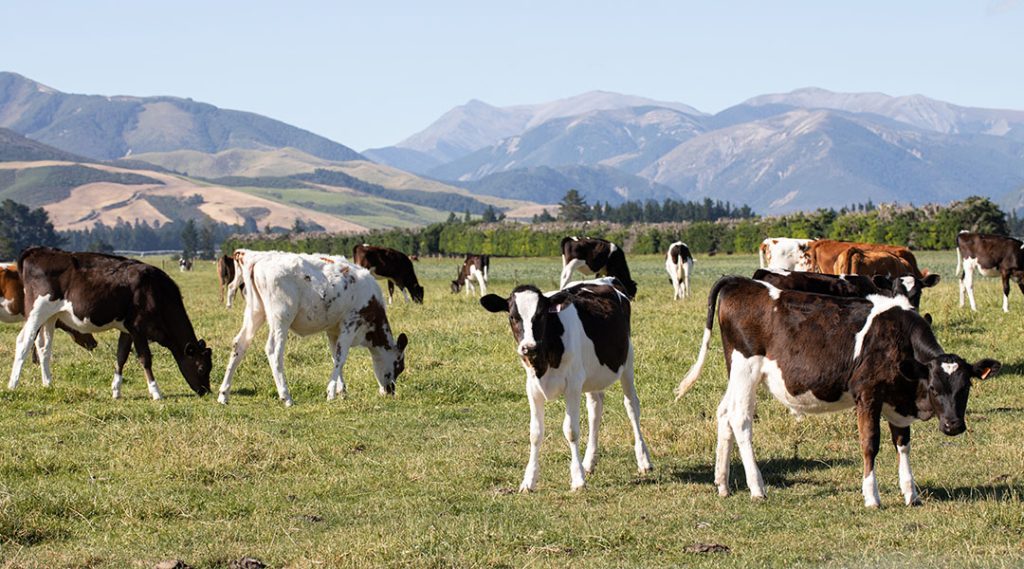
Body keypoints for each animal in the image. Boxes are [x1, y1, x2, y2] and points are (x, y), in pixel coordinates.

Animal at [9, 247, 213, 399]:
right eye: (202, 367)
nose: (206, 391)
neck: (157, 292)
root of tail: (38, 250)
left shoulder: (127, 329)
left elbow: (121, 356)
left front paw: (116, 391)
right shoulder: (138, 328)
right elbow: (145, 358)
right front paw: (156, 392)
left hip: (51, 316)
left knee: (43, 347)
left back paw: (48, 384)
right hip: (36, 311)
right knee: (23, 342)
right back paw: (13, 385)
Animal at [217, 252, 409, 407]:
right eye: (399, 365)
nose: (390, 391)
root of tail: (258, 259)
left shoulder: (333, 329)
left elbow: (335, 356)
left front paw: (341, 391)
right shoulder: (351, 323)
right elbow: (341, 357)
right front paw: (331, 393)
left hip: (255, 311)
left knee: (240, 344)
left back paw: (223, 394)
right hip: (281, 317)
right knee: (273, 351)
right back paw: (286, 396)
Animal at [480, 277, 653, 492]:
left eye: (541, 315)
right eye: (513, 317)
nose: (528, 347)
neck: (544, 360)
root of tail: (606, 279)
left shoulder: (573, 385)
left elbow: (571, 430)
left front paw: (577, 479)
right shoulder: (532, 388)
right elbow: (535, 433)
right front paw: (529, 480)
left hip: (627, 361)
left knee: (631, 406)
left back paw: (644, 460)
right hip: (592, 375)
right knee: (595, 409)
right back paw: (589, 462)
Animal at [675, 276, 1000, 507]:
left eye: (966, 387)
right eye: (934, 387)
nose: (953, 425)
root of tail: (741, 282)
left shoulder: (897, 399)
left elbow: (903, 444)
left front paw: (911, 494)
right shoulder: (867, 394)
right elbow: (870, 444)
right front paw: (872, 496)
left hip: (736, 371)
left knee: (724, 413)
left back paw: (722, 483)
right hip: (746, 368)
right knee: (740, 419)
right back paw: (757, 487)